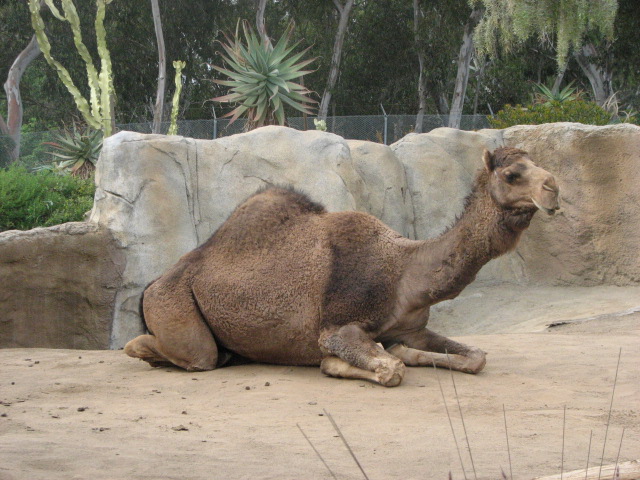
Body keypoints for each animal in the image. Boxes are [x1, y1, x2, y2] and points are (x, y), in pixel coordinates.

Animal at [124, 146, 560, 387]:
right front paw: (340, 363)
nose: (554, 187)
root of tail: (153, 283)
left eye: (538, 164)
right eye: (512, 174)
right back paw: (146, 348)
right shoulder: (337, 325)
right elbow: (386, 368)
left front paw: (405, 352)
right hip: (174, 306)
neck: (403, 271)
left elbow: (474, 356)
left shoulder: (414, 327)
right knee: (192, 353)